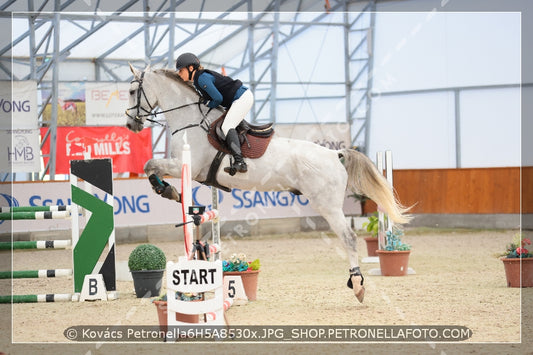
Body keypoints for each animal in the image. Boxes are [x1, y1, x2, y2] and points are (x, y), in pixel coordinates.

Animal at [125, 64, 412, 304]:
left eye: (131, 91)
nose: (130, 124)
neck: (189, 120)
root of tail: (334, 154)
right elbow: (151, 167)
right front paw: (168, 190)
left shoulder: (186, 166)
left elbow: (149, 165)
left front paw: (168, 190)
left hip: (327, 205)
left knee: (349, 238)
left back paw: (358, 284)